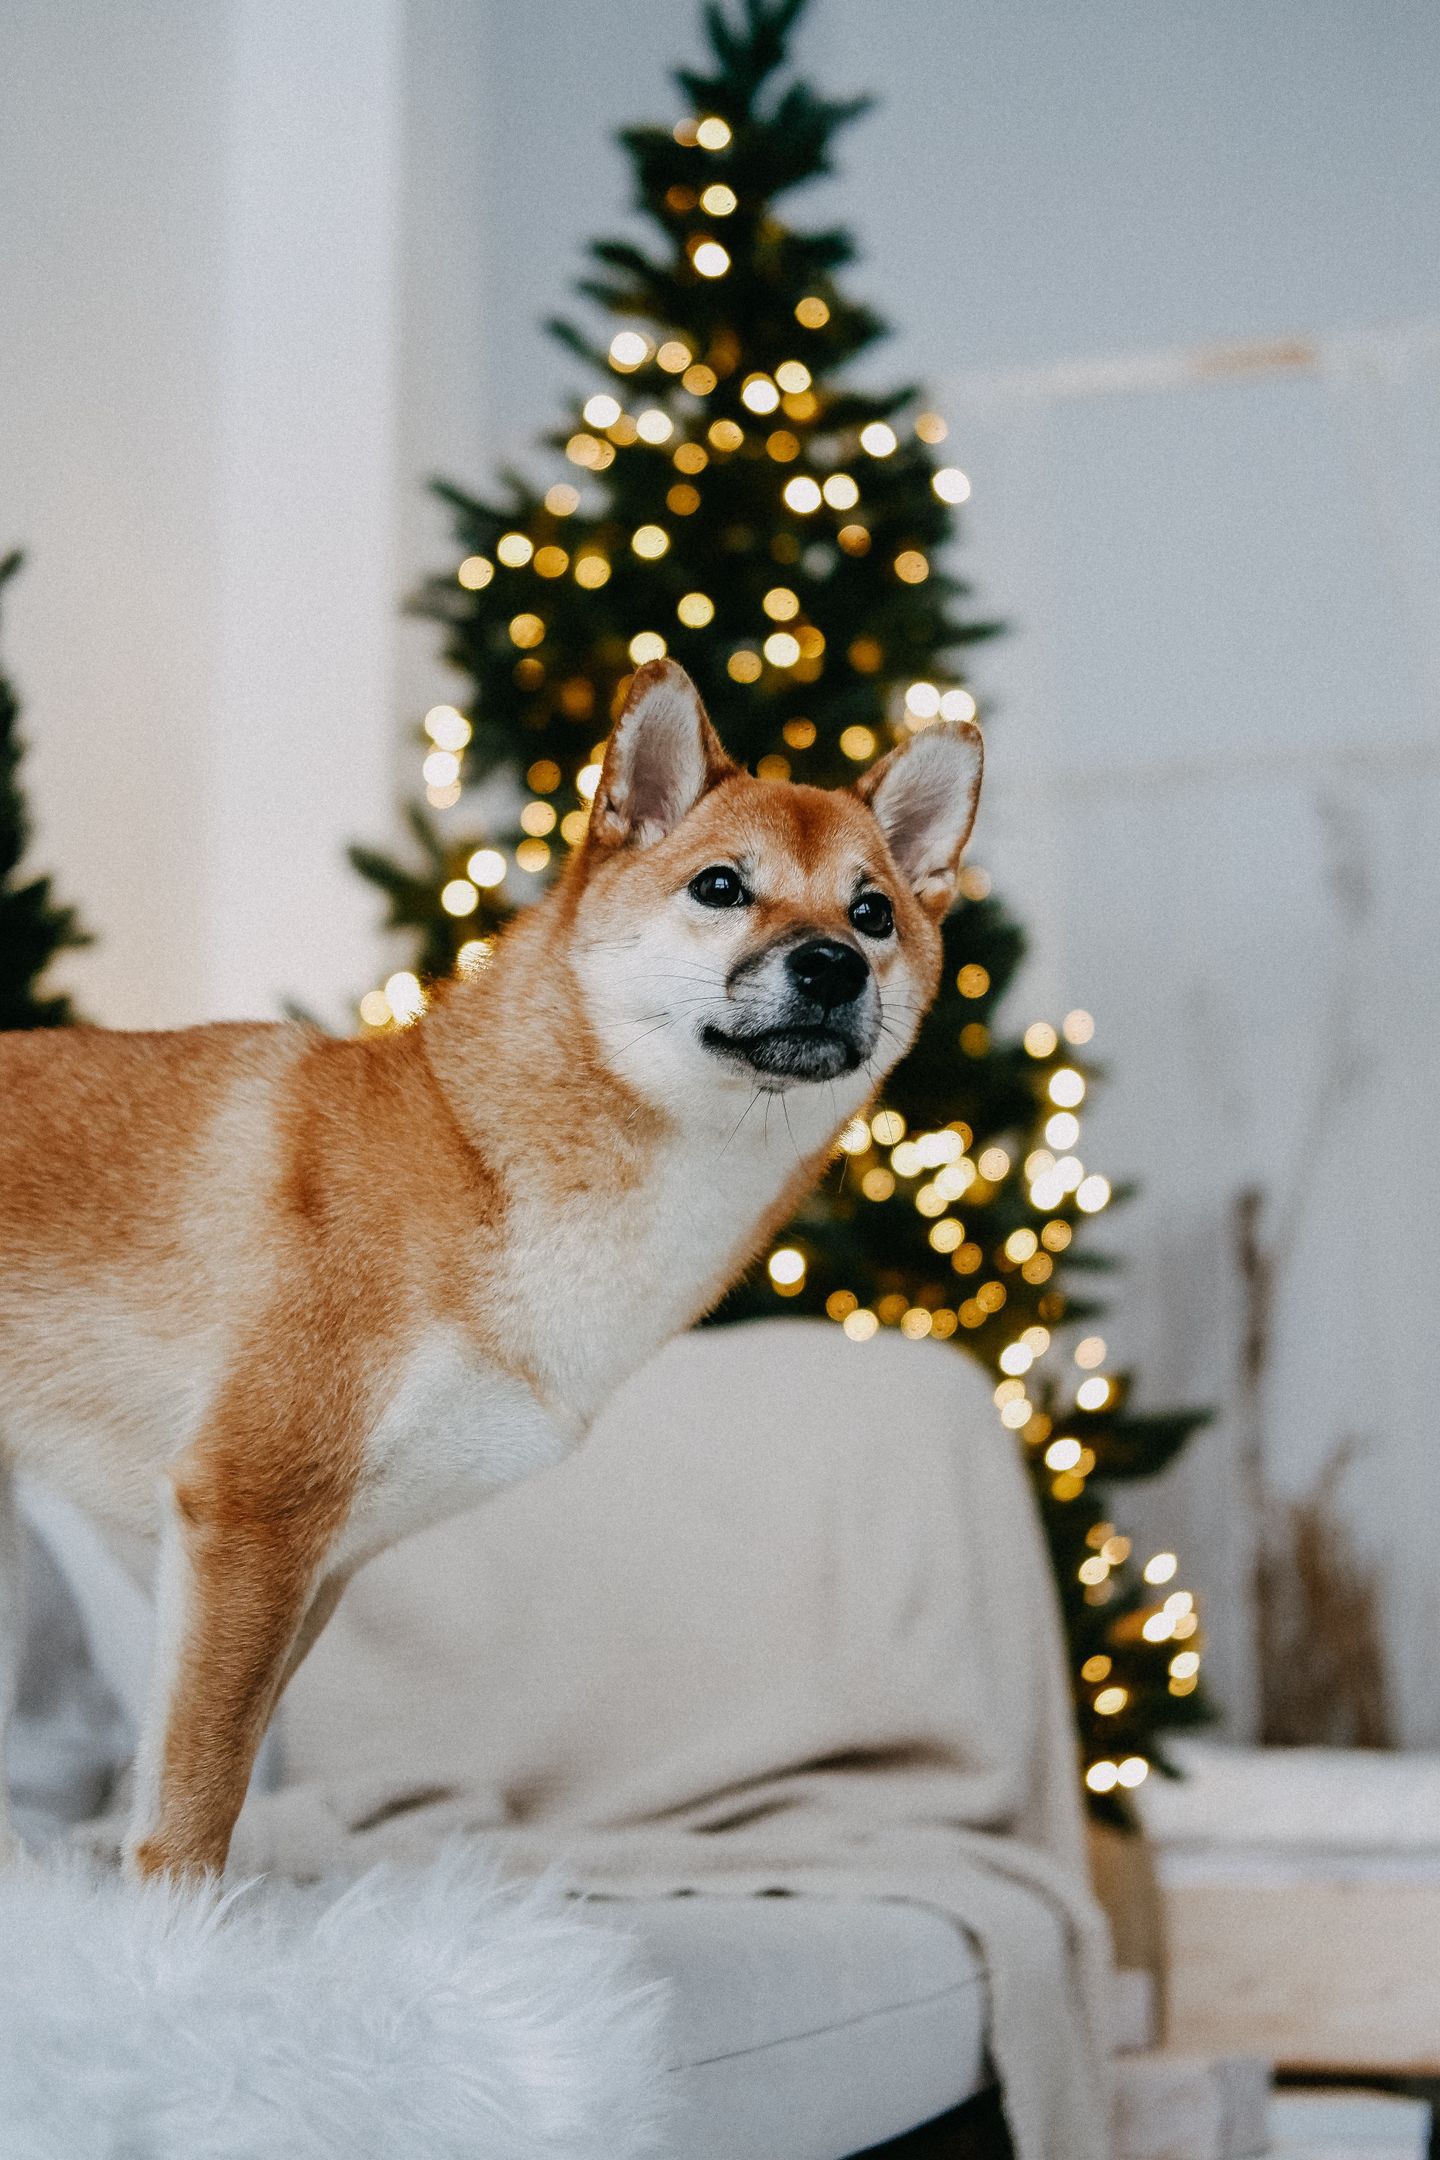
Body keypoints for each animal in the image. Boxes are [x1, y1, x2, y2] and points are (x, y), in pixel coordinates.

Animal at [0, 659, 982, 1881]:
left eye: (872, 911)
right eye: (721, 886)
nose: (832, 967)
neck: (480, 1155)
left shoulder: (316, 1566)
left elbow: (205, 1776)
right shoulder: (252, 1512)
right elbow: (190, 1811)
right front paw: (174, 1934)